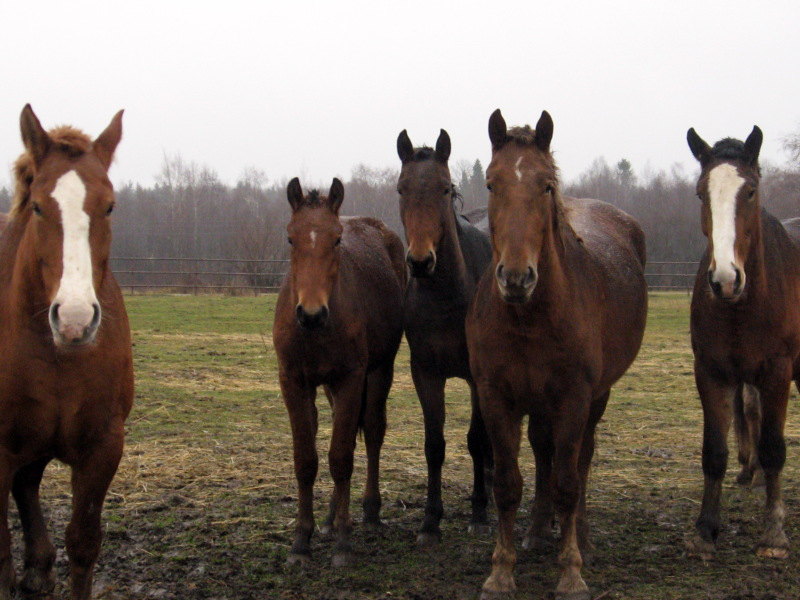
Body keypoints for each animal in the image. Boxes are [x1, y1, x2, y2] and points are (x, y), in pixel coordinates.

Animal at [0, 106, 133, 600]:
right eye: (38, 206)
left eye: (109, 205)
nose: (75, 319)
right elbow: (0, 554)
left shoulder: (102, 446)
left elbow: (83, 544)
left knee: (27, 485)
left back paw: (39, 567)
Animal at [274, 177, 406, 568]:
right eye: (291, 238)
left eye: (336, 239)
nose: (311, 314)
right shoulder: (293, 381)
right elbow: (306, 459)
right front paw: (301, 541)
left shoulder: (351, 379)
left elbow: (342, 457)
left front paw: (345, 543)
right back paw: (331, 517)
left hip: (379, 369)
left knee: (373, 431)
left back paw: (369, 510)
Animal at [466, 110, 648, 596]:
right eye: (491, 183)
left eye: (546, 185)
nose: (515, 277)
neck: (531, 316)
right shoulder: (497, 398)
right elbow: (508, 484)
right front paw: (501, 571)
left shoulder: (573, 397)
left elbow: (568, 481)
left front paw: (571, 572)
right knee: (543, 451)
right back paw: (535, 531)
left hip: (595, 398)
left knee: (580, 460)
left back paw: (579, 535)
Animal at [680, 126, 800, 564]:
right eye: (701, 192)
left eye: (749, 191)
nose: (726, 279)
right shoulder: (711, 372)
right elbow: (714, 451)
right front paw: (705, 530)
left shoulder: (778, 372)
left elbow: (775, 449)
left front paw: (774, 534)